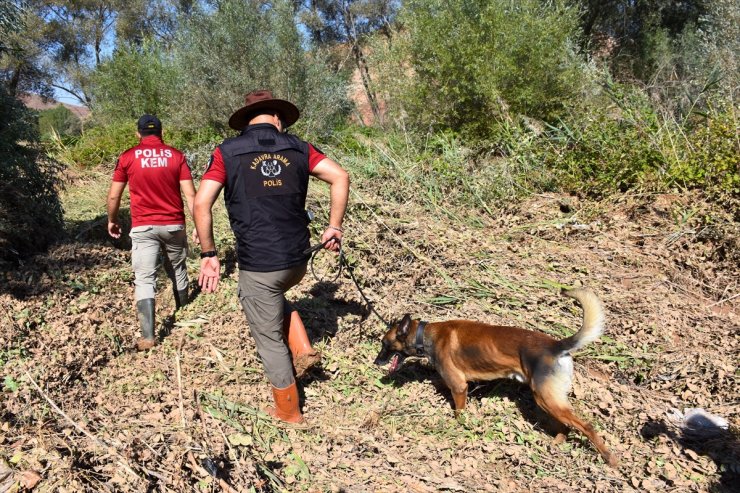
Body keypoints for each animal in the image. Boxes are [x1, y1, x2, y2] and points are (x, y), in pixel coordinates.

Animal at [372, 288, 616, 466]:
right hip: (550, 399)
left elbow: (459, 413)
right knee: (566, 425)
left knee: (586, 426)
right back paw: (557, 443)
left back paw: (610, 459)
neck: (426, 335)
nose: (375, 362)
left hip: (546, 398)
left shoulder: (459, 388)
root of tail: (557, 345)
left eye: (384, 344)